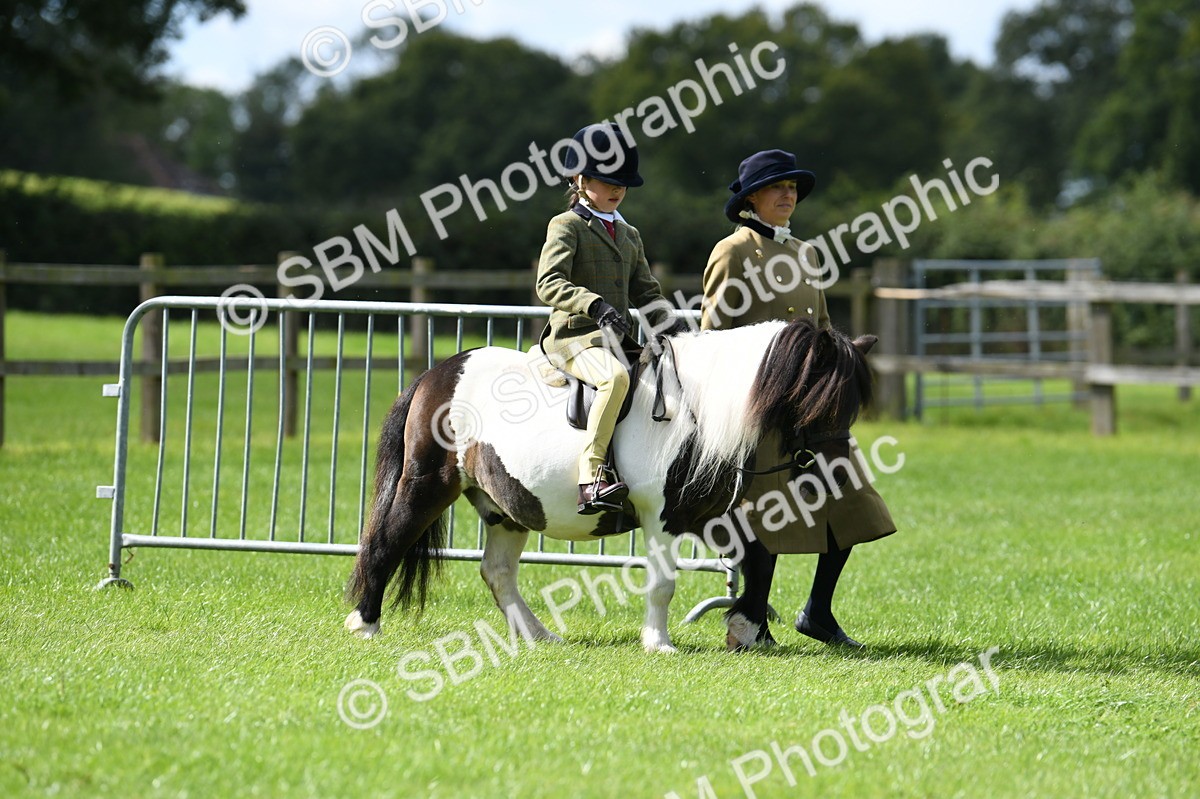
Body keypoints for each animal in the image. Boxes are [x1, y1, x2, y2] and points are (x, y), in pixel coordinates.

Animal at [344, 317, 876, 652]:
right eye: (819, 401)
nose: (836, 475)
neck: (698, 409)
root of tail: (436, 374)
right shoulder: (663, 517)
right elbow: (663, 582)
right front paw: (659, 643)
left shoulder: (715, 511)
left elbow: (760, 560)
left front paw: (745, 629)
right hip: (426, 486)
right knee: (386, 543)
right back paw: (365, 624)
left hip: (505, 507)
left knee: (497, 573)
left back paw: (539, 635)